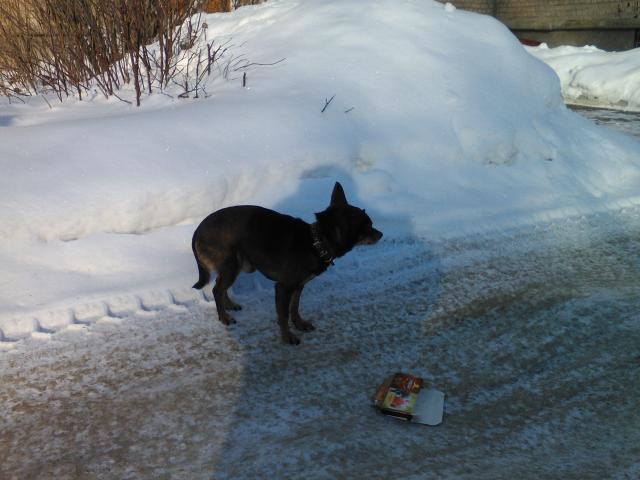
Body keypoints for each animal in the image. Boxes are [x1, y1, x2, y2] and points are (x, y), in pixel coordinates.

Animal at [190, 182, 380, 344]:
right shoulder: (283, 288)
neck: (315, 243)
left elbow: (294, 308)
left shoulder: (299, 286)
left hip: (234, 266)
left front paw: (300, 324)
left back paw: (229, 305)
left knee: (220, 285)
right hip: (230, 265)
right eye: (368, 226)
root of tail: (198, 229)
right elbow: (283, 316)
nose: (381, 234)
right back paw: (224, 317)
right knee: (216, 289)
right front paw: (288, 337)